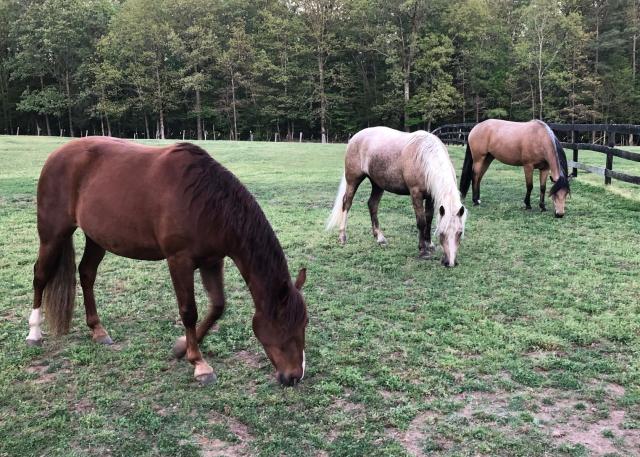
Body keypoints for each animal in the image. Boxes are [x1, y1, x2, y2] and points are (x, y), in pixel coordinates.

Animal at [26, 138, 312, 384]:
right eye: (283, 324)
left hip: (96, 238)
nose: (294, 377)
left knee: (86, 274)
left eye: (304, 324)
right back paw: (34, 333)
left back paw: (98, 330)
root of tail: (56, 154)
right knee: (40, 275)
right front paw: (199, 364)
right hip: (53, 234)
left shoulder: (212, 261)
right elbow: (189, 311)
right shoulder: (179, 261)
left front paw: (181, 347)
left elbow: (217, 306)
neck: (206, 203)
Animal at [328, 126, 468, 266]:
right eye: (442, 233)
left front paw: (429, 244)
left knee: (372, 205)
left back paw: (380, 238)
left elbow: (428, 219)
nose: (450, 263)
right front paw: (423, 250)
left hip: (377, 184)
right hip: (353, 180)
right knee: (347, 203)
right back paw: (342, 237)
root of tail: (355, 137)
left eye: (460, 233)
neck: (425, 158)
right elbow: (421, 222)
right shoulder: (416, 194)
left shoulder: (430, 197)